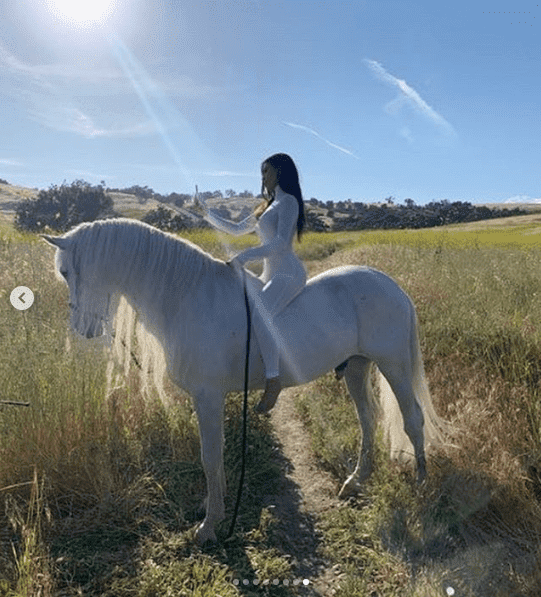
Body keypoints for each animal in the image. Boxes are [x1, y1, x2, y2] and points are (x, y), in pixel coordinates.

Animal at [44, 218, 442, 544]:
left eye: (65, 271)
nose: (84, 329)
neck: (188, 297)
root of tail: (391, 285)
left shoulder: (208, 395)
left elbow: (210, 456)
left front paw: (208, 526)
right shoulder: (206, 398)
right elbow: (214, 455)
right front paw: (212, 505)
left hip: (394, 365)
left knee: (412, 420)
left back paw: (422, 484)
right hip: (358, 367)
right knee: (367, 420)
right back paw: (355, 482)